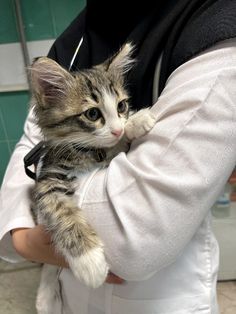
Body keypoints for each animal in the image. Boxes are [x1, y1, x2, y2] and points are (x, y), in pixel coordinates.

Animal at [29, 42, 157, 314]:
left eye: (121, 106)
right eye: (92, 114)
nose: (117, 129)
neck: (92, 153)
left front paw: (136, 121)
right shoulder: (47, 182)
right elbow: (62, 212)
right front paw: (89, 262)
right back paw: (46, 296)